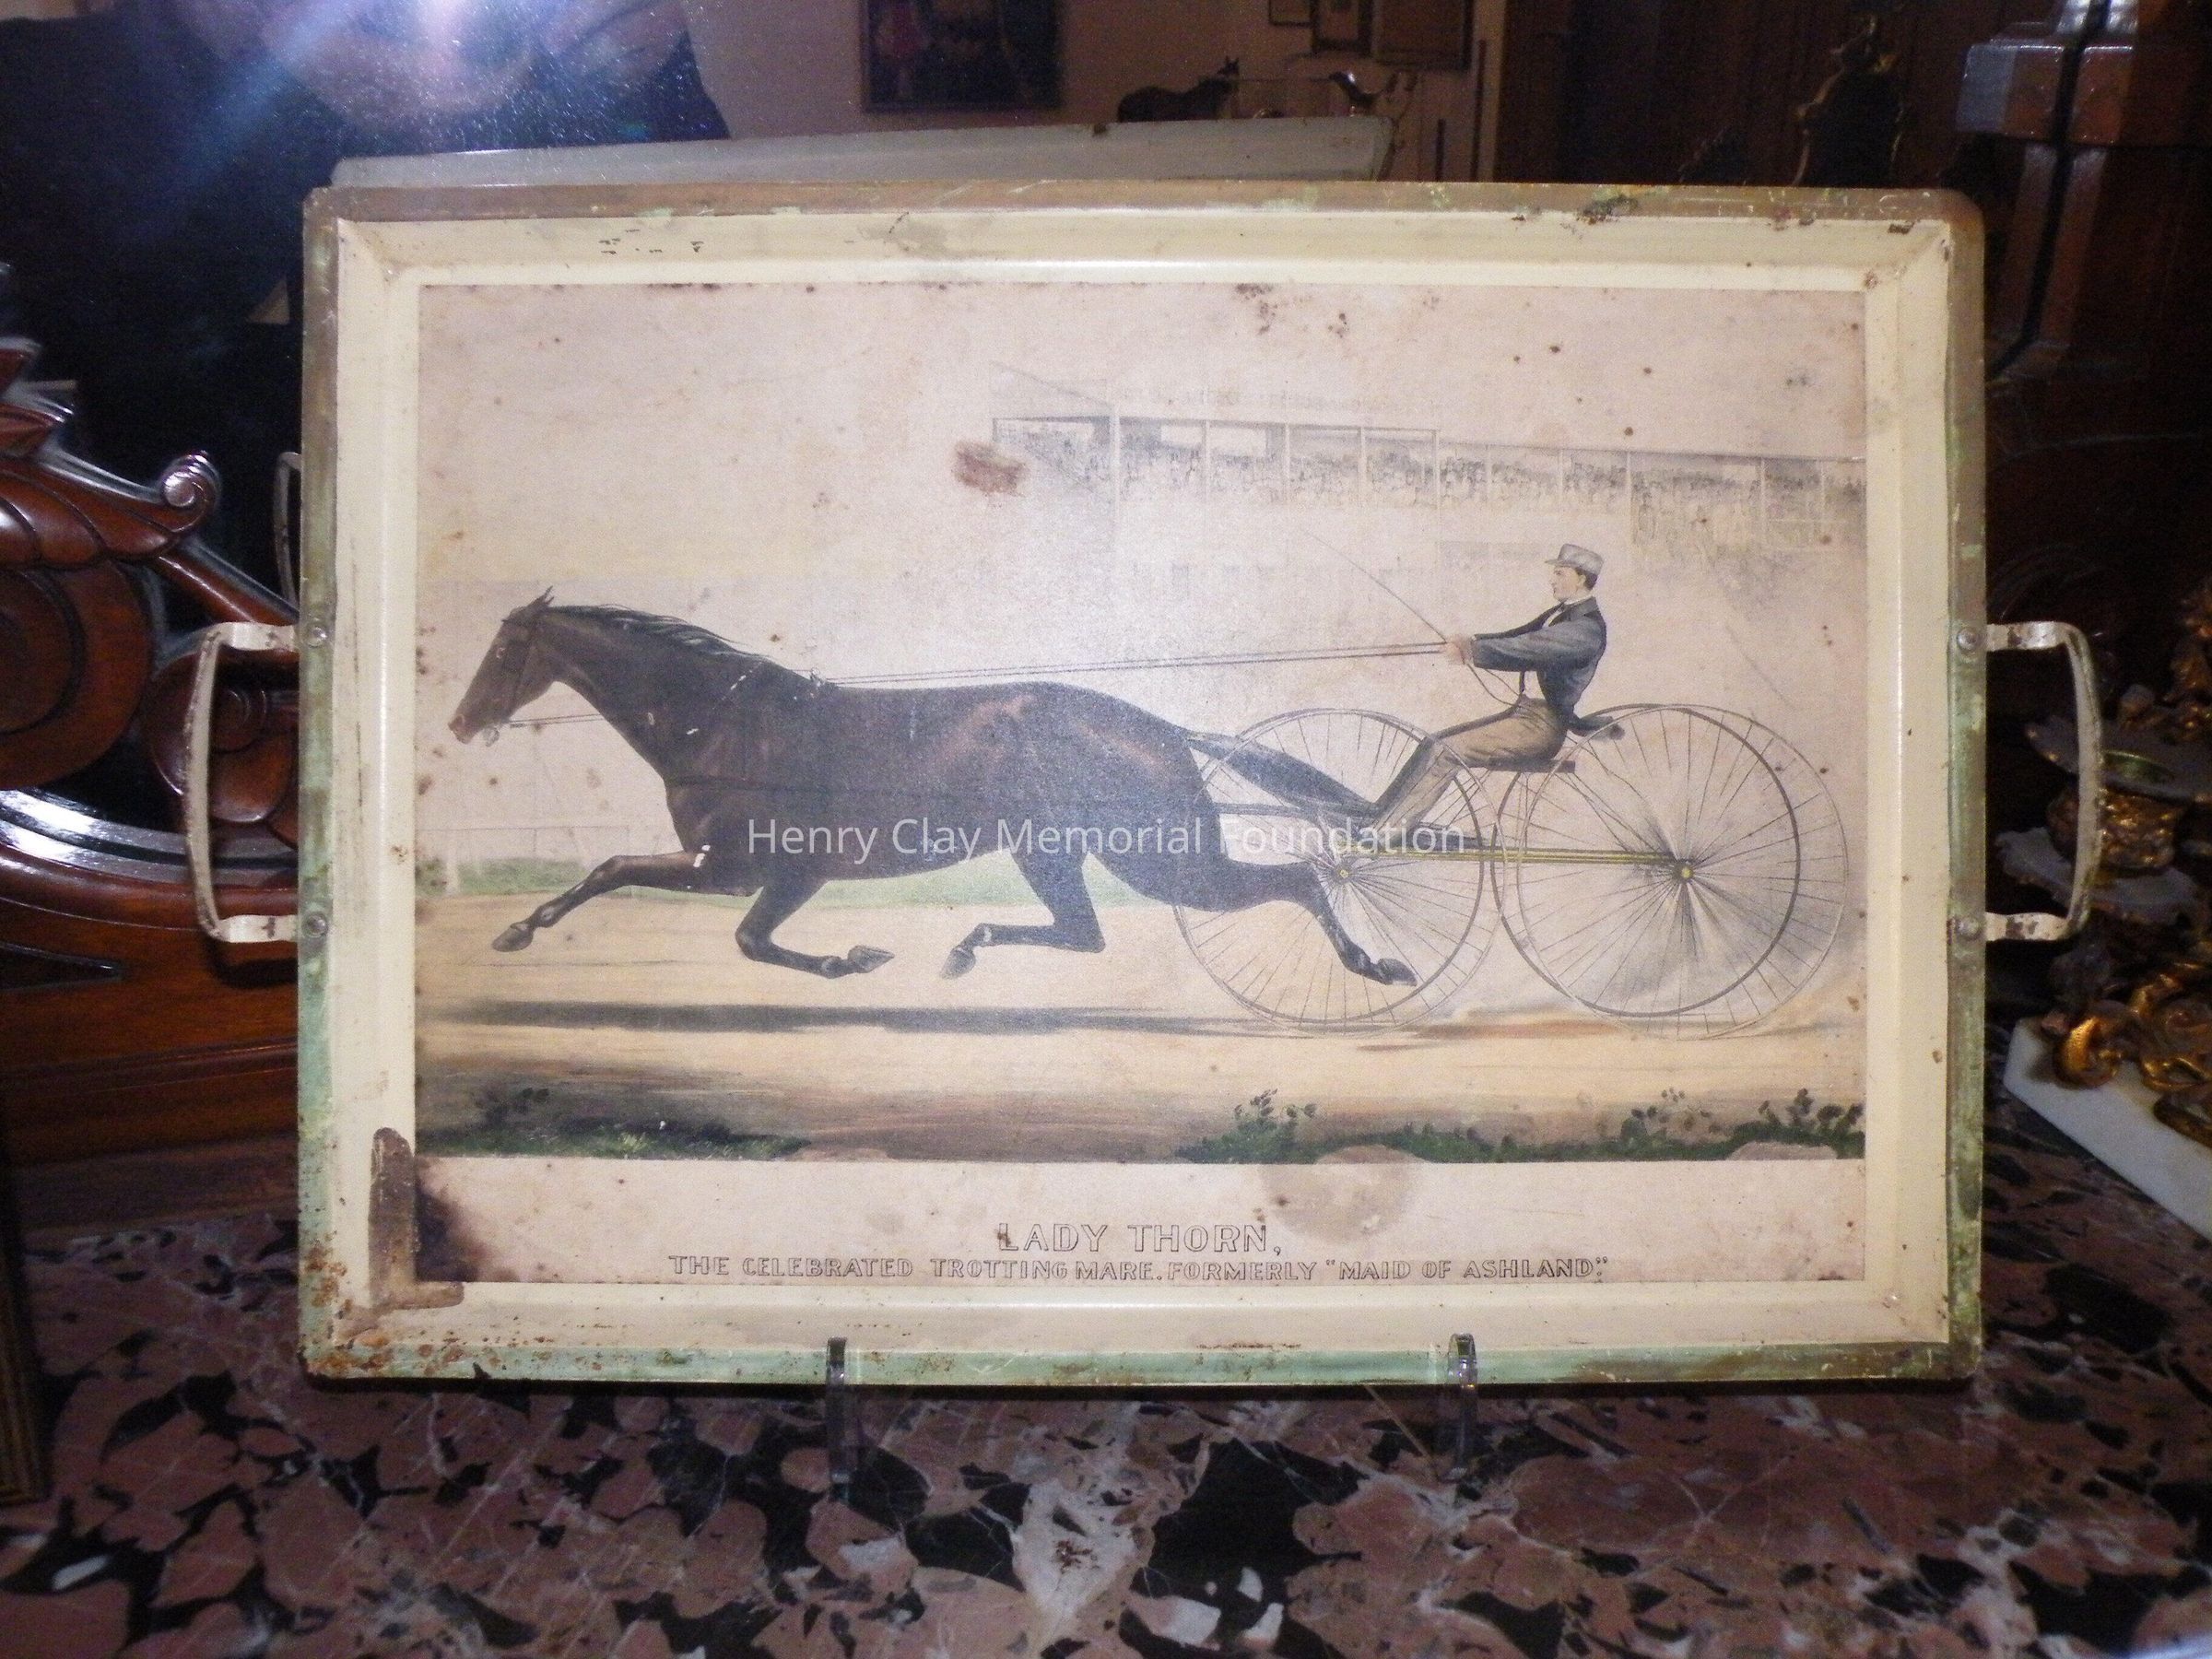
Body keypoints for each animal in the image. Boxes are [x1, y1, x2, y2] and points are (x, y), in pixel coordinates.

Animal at [445, 595, 1416, 989]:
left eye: (502, 650)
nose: (458, 722)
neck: (725, 724)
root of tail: (1160, 729)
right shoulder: (779, 873)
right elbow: (747, 938)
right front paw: (855, 958)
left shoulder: (738, 864)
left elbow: (619, 872)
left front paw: (516, 929)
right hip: (1060, 855)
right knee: (1085, 933)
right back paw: (963, 949)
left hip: (1150, 860)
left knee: (1296, 880)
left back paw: (1374, 964)